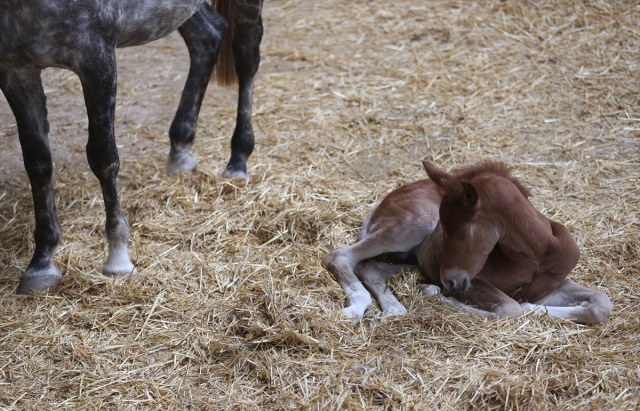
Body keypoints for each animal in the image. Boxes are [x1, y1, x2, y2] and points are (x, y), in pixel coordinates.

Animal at [0, 0, 264, 296]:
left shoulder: (96, 57)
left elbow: (103, 157)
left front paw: (118, 257)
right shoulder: (16, 71)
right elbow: (37, 162)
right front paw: (42, 262)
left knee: (246, 55)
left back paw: (238, 159)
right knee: (208, 37)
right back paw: (180, 149)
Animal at [322, 161, 612, 326]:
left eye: (463, 234)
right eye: (444, 230)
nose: (450, 282)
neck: (535, 255)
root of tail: (385, 200)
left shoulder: (548, 287)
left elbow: (601, 303)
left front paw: (535, 308)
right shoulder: (476, 280)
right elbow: (509, 308)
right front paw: (439, 297)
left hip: (415, 259)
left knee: (371, 268)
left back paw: (394, 310)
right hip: (413, 225)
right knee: (340, 257)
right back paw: (356, 309)